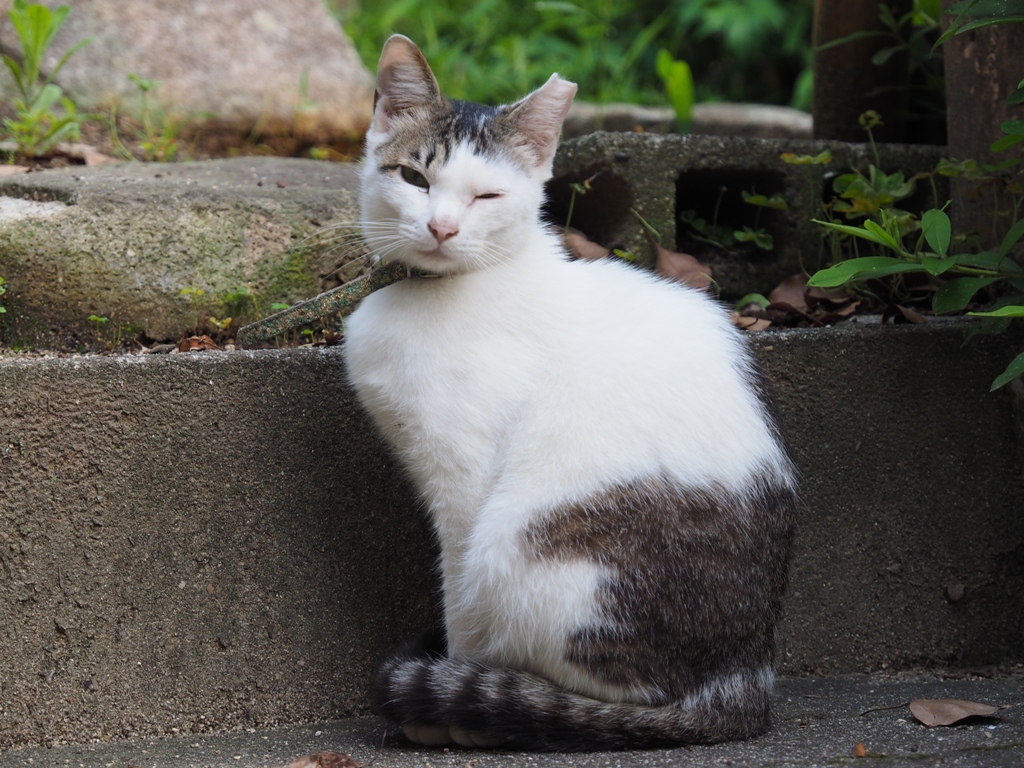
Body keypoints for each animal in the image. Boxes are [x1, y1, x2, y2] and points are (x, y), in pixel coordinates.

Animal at [344, 34, 798, 753]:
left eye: (487, 196)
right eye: (414, 179)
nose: (441, 228)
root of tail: (745, 675)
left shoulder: (464, 482)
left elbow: (459, 598)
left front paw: (454, 688)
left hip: (527, 553)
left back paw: (500, 709)